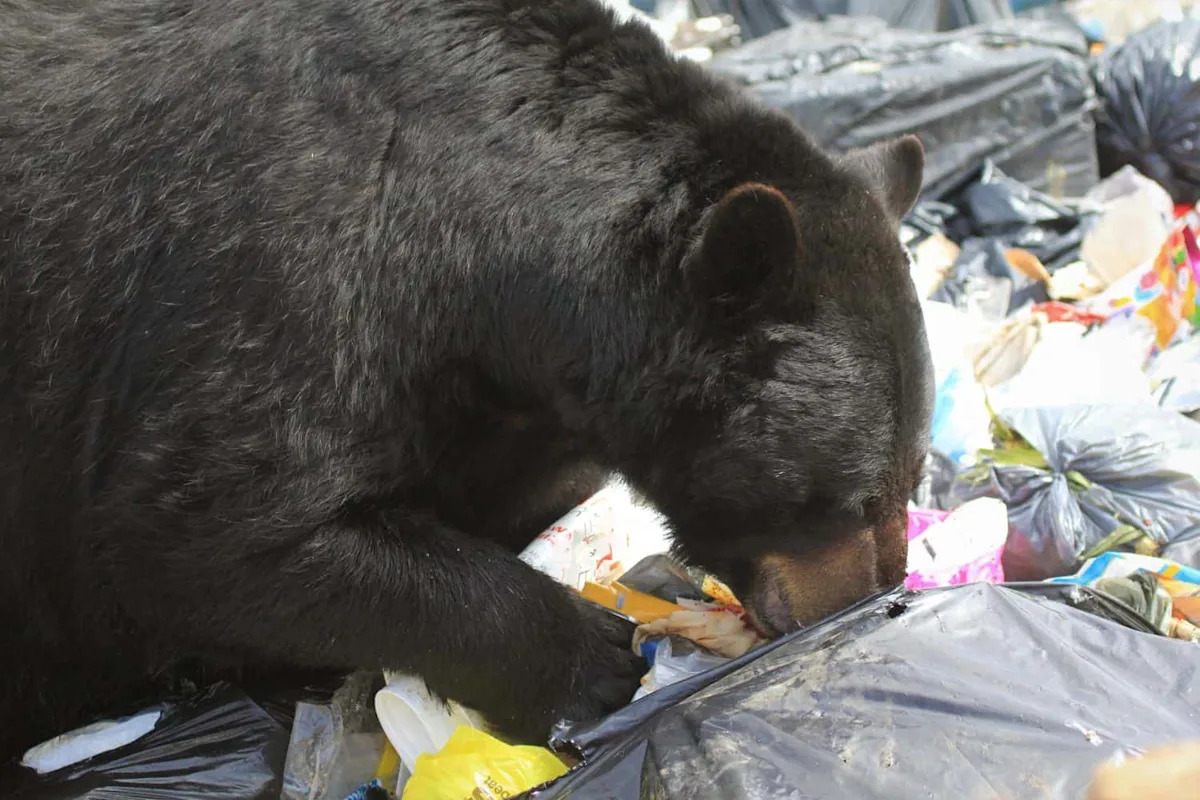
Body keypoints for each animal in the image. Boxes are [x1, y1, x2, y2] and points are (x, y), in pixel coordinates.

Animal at [0, 0, 933, 760]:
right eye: (847, 496)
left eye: (912, 476)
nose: (876, 598)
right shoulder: (283, 277)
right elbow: (200, 530)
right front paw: (591, 658)